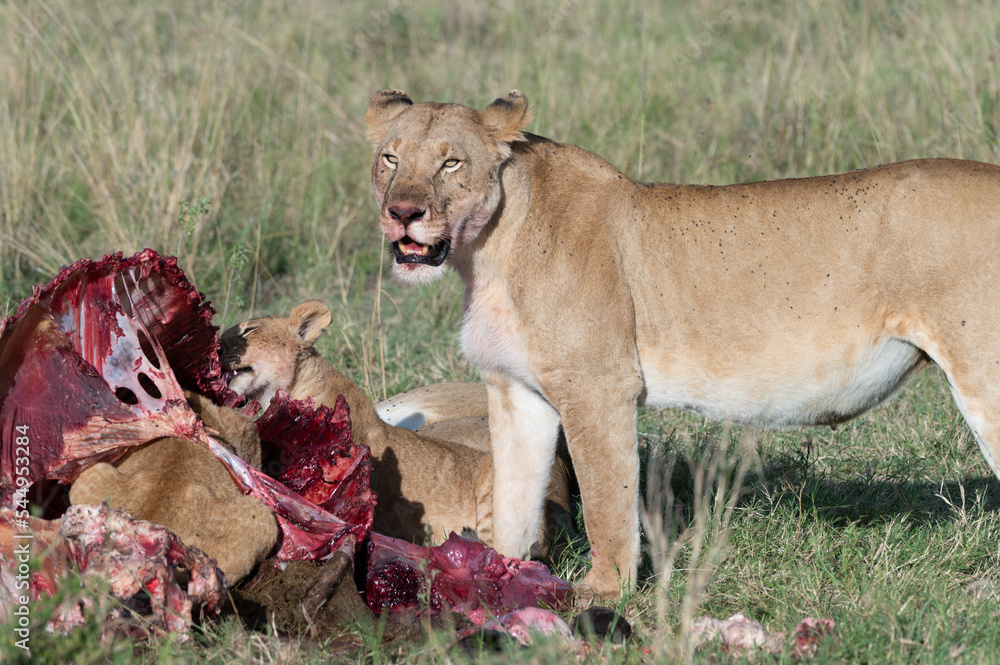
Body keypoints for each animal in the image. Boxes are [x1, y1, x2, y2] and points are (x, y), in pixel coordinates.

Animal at [364, 88, 1000, 599]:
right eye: (391, 158)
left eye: (451, 161)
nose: (403, 212)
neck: (487, 253)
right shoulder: (516, 394)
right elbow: (514, 501)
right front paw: (500, 577)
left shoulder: (599, 389)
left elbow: (607, 501)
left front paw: (603, 594)